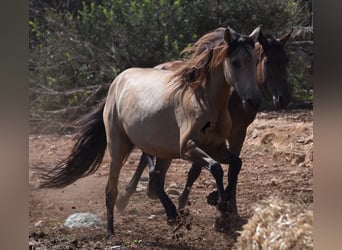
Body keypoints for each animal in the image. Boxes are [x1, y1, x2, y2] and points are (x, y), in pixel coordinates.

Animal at [38, 26, 262, 235]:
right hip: (119, 145)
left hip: (162, 151)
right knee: (114, 188)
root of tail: (117, 82)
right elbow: (215, 168)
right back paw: (111, 231)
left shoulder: (216, 146)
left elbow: (235, 163)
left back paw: (172, 214)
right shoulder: (187, 149)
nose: (253, 102)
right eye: (235, 62)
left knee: (157, 179)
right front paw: (220, 204)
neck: (202, 99)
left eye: (255, 61)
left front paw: (220, 206)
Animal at [115, 28, 292, 216]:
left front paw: (230, 206)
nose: (284, 99)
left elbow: (234, 168)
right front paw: (187, 200)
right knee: (145, 156)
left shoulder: (237, 135)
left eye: (286, 60)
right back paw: (129, 195)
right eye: (267, 61)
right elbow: (197, 169)